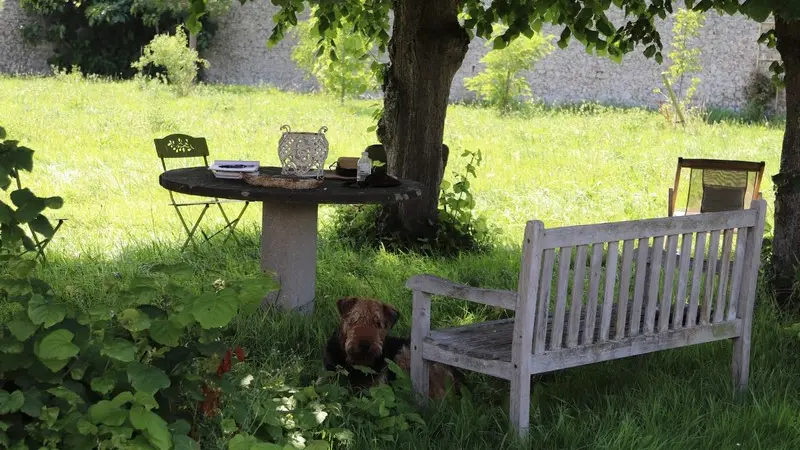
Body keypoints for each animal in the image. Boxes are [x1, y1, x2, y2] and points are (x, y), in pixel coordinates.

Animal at [322, 298, 460, 400]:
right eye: (354, 320)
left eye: (378, 323)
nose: (365, 345)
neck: (357, 365)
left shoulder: (374, 389)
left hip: (404, 355)